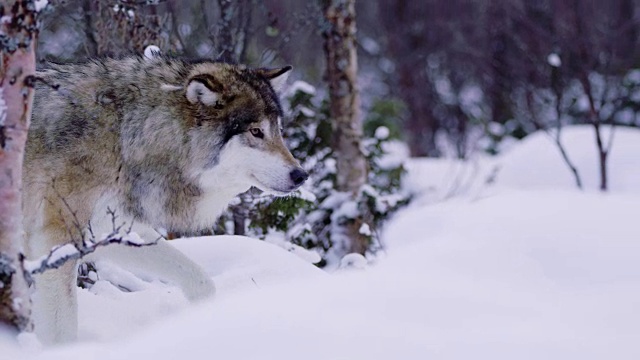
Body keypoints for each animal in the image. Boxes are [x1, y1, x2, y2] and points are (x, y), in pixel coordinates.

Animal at [22, 52, 308, 344]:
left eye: (279, 131)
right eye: (256, 132)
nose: (301, 175)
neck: (126, 135)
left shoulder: (108, 230)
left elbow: (200, 278)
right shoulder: (56, 240)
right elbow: (62, 328)